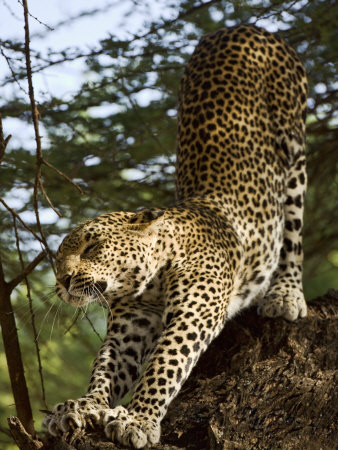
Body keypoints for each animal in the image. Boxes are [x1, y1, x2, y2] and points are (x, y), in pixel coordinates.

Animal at [43, 26, 308, 448]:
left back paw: (286, 294)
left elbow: (164, 365)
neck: (148, 283)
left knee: (293, 230)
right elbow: (105, 368)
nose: (62, 280)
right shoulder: (129, 327)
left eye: (92, 246)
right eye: (57, 260)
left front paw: (137, 419)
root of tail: (241, 27)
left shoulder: (193, 315)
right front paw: (85, 406)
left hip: (293, 145)